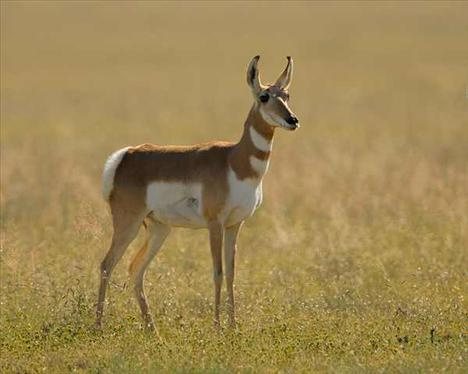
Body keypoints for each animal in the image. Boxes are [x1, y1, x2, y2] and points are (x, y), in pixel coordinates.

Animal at [95, 56, 300, 330]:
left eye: (286, 95)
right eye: (264, 96)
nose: (292, 120)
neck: (235, 161)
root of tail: (126, 155)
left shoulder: (235, 225)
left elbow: (232, 273)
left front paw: (233, 326)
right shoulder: (215, 224)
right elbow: (217, 272)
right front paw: (217, 327)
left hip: (159, 229)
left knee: (135, 268)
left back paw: (152, 330)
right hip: (128, 223)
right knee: (107, 265)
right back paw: (98, 325)